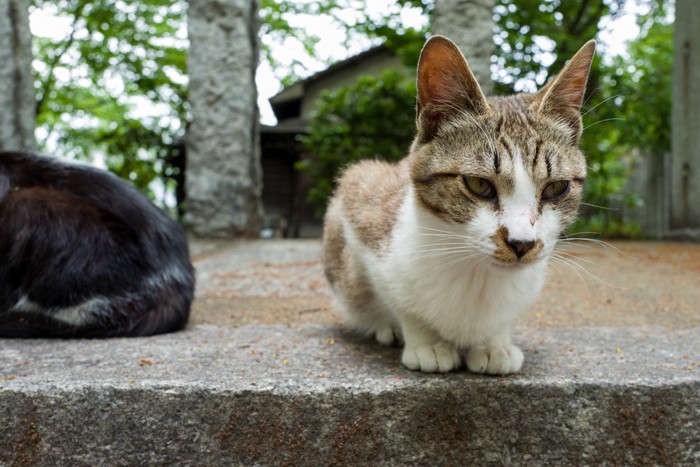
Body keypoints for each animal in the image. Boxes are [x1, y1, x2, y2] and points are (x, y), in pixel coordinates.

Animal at [324, 34, 596, 374]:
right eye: (479, 184)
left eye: (556, 188)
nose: (522, 243)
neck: (476, 273)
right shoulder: (362, 198)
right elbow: (398, 299)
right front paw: (425, 341)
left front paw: (493, 343)